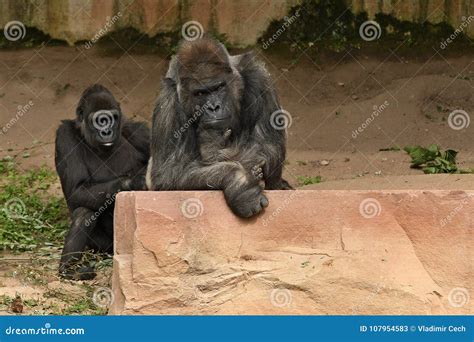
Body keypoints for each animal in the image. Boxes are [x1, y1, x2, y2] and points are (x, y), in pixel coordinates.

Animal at [54, 84, 149, 280]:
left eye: (112, 119)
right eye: (100, 121)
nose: (107, 131)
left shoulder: (138, 130)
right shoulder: (64, 135)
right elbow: (77, 190)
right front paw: (135, 180)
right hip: (105, 246)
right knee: (84, 211)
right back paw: (69, 269)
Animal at [148, 37, 290, 218]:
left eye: (219, 87)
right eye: (200, 93)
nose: (214, 107)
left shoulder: (259, 76)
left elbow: (269, 146)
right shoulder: (167, 101)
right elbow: (167, 173)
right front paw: (240, 182)